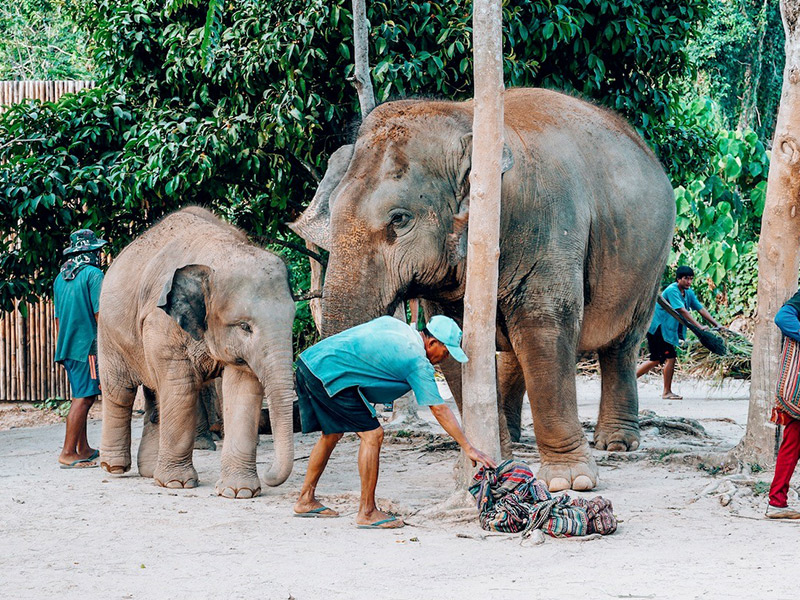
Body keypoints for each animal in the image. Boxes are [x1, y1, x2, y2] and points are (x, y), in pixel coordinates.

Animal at [97, 206, 296, 496]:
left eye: (293, 319)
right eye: (245, 326)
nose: (270, 474)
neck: (221, 251)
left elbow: (243, 389)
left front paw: (238, 492)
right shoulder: (161, 322)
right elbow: (180, 387)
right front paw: (177, 484)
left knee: (154, 397)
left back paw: (150, 472)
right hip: (108, 330)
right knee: (120, 391)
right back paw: (113, 467)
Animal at [292, 89, 676, 492]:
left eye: (399, 219)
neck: (466, 117)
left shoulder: (550, 224)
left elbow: (545, 326)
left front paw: (569, 481)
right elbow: (456, 339)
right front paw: (486, 467)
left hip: (651, 260)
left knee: (621, 343)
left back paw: (616, 443)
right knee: (514, 349)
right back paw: (516, 435)